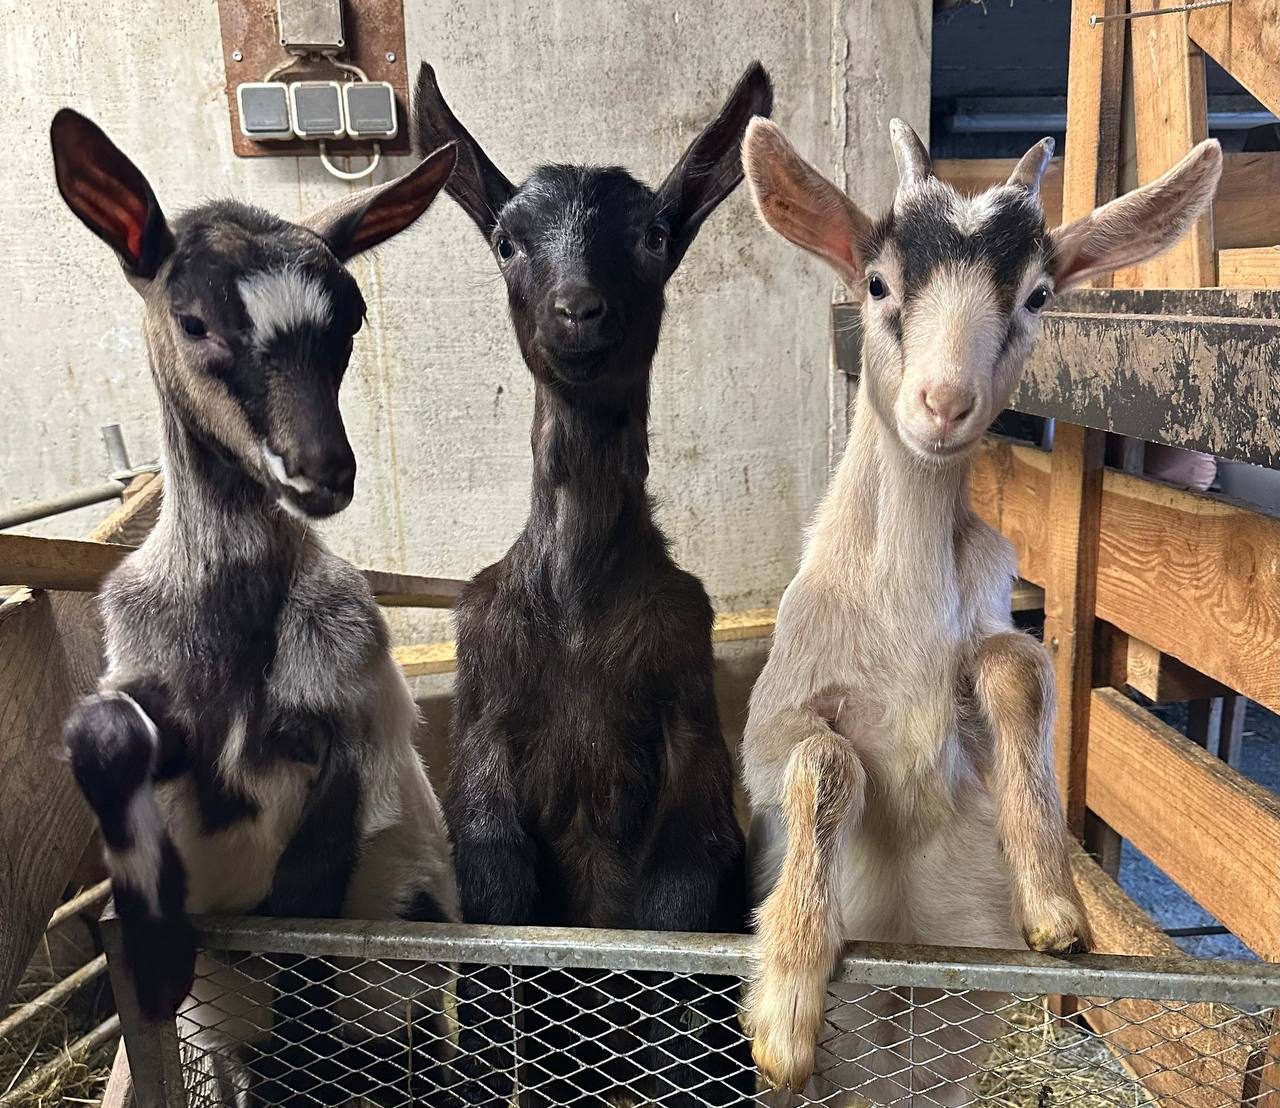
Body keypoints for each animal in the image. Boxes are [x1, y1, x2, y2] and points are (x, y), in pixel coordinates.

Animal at [51, 109, 463, 1105]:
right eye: (194, 320)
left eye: (348, 321)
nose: (323, 470)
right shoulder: (154, 685)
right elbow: (107, 732)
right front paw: (156, 946)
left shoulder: (350, 729)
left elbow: (307, 919)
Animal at [414, 62, 772, 1107]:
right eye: (505, 239)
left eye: (654, 235)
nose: (579, 310)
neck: (576, 603)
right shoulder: (484, 708)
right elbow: (495, 901)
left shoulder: (688, 699)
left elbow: (678, 902)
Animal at [739, 118, 1222, 1104]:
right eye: (877, 283)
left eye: (1037, 295)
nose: (944, 403)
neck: (903, 613)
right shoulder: (773, 721)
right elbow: (822, 758)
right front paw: (784, 1006)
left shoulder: (989, 626)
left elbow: (1018, 665)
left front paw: (1054, 903)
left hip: (952, 1027)